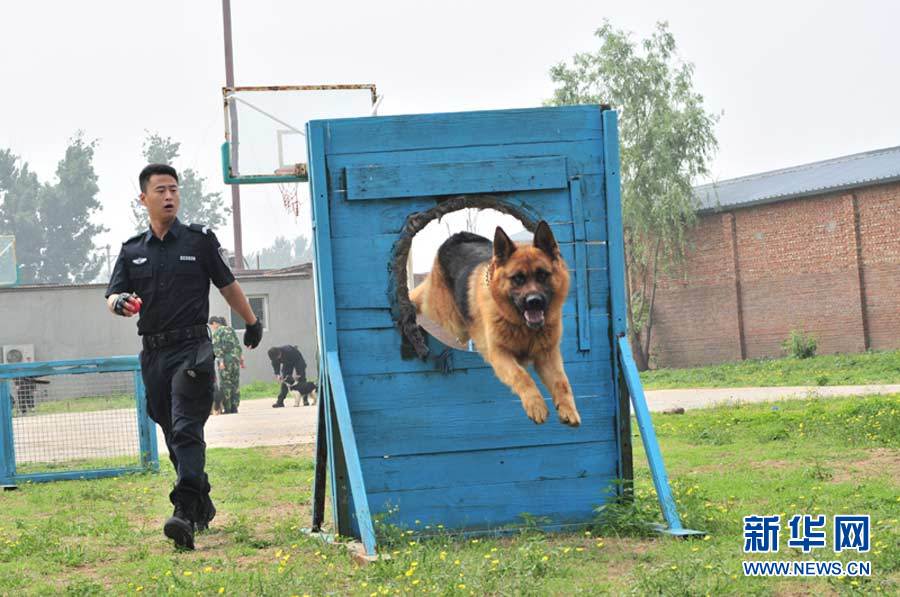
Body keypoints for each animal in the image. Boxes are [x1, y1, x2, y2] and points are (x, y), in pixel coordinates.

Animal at [412, 221, 580, 426]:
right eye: (518, 278)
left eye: (542, 275)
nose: (534, 301)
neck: (523, 327)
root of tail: (458, 236)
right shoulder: (500, 355)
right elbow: (521, 376)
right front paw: (535, 405)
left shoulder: (547, 357)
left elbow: (561, 382)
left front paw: (568, 409)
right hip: (444, 315)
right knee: (423, 298)